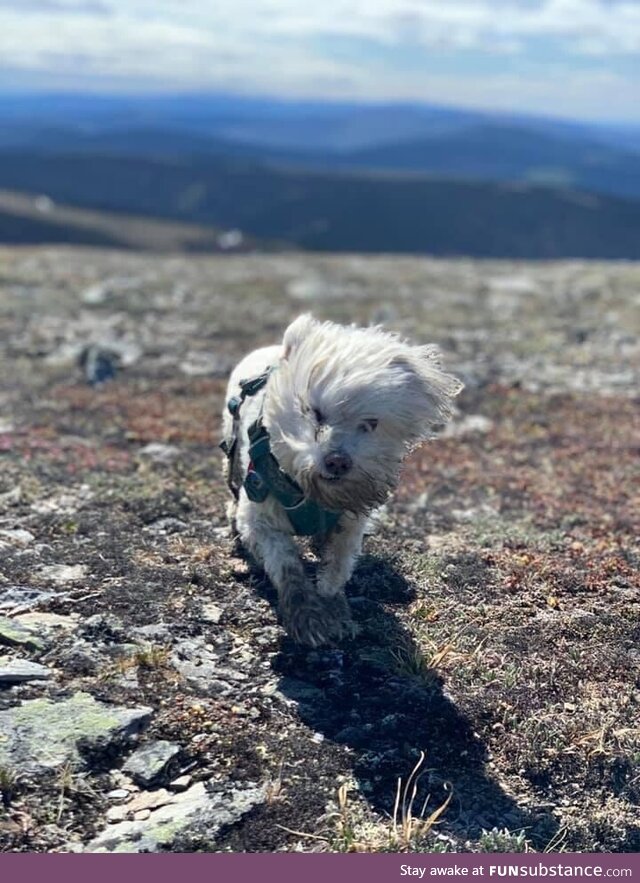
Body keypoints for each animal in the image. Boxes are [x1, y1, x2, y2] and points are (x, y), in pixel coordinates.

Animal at [220, 314, 460, 644]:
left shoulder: (349, 524)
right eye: (315, 412)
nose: (338, 461)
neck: (311, 494)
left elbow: (338, 567)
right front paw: (307, 615)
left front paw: (334, 606)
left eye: (371, 423)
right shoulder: (260, 520)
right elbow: (288, 566)